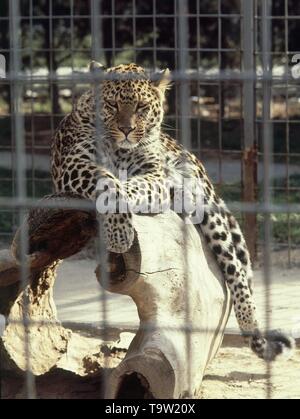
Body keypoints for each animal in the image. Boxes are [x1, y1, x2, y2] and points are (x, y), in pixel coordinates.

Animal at [51, 60, 292, 362]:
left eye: (141, 107)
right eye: (111, 104)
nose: (127, 129)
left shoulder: (154, 173)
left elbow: (130, 186)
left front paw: (122, 228)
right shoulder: (75, 164)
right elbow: (110, 183)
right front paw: (119, 232)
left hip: (208, 207)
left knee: (235, 268)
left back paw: (249, 322)